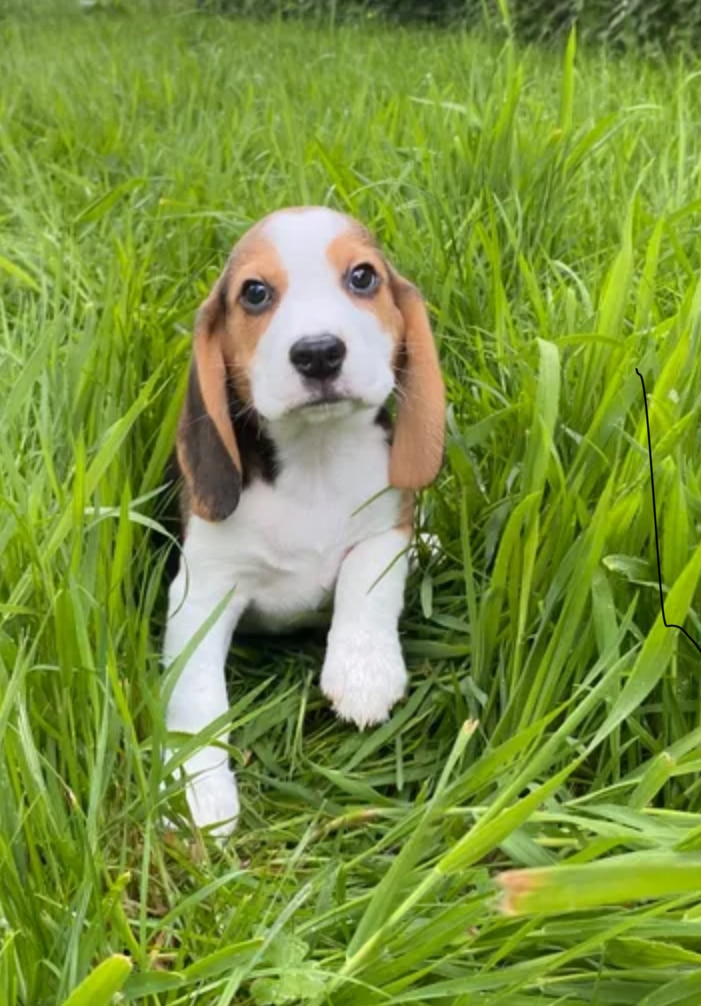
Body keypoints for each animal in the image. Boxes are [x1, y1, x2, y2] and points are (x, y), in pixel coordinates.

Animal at [163, 208, 442, 836]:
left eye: (363, 277)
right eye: (255, 293)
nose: (317, 352)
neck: (315, 458)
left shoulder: (385, 524)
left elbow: (368, 578)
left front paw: (363, 671)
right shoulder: (201, 590)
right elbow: (196, 696)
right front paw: (196, 792)